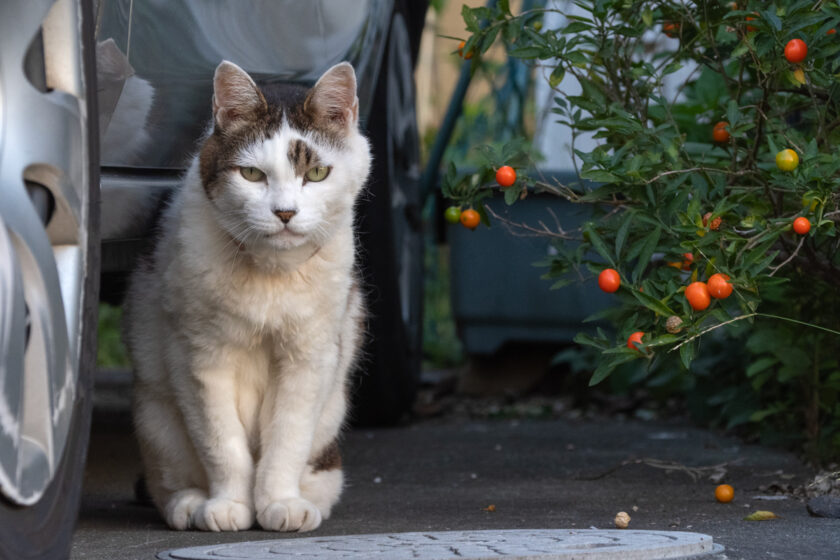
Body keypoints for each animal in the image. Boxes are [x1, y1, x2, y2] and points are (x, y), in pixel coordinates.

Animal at [123, 59, 370, 532]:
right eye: (252, 174)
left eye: (316, 173)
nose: (285, 213)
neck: (271, 273)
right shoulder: (200, 359)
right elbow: (222, 444)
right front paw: (229, 505)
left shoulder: (309, 357)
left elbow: (287, 438)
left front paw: (280, 503)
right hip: (156, 416)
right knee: (168, 480)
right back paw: (189, 505)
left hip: (331, 412)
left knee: (324, 471)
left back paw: (309, 501)